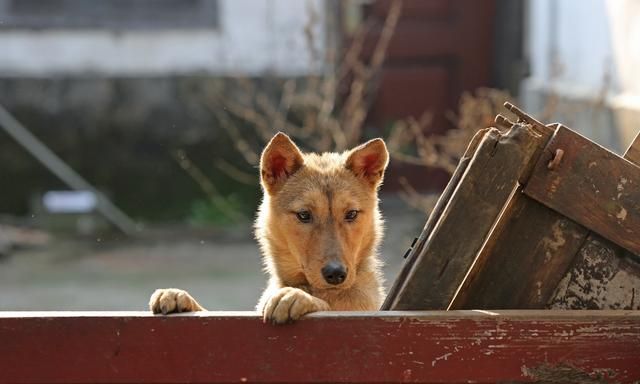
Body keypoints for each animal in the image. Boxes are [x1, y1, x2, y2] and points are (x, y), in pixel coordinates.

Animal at [149, 132, 390, 324]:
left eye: (351, 214)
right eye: (304, 215)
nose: (336, 274)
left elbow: (326, 306)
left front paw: (298, 297)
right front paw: (180, 297)